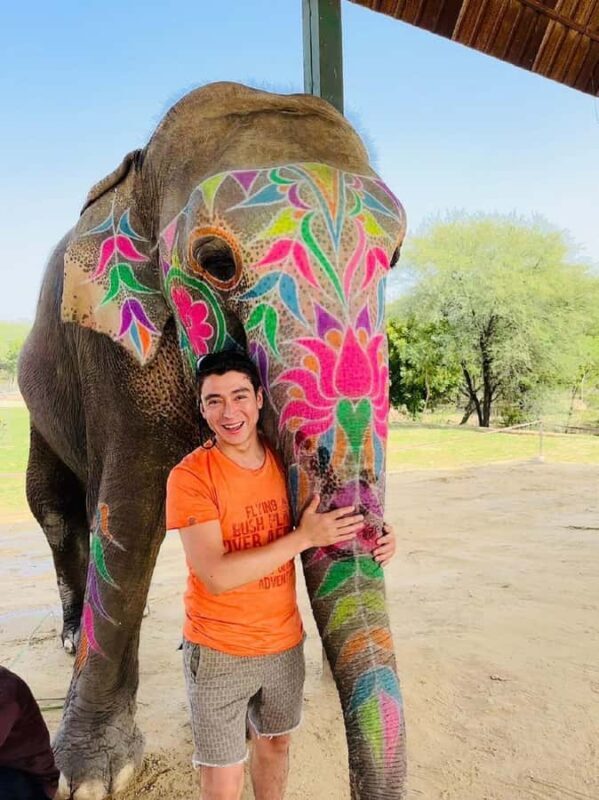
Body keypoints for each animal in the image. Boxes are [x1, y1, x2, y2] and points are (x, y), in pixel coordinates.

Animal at [18, 82, 407, 799]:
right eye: (216, 262)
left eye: (392, 258)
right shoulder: (114, 356)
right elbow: (129, 515)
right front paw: (89, 779)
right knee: (57, 509)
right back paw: (69, 638)